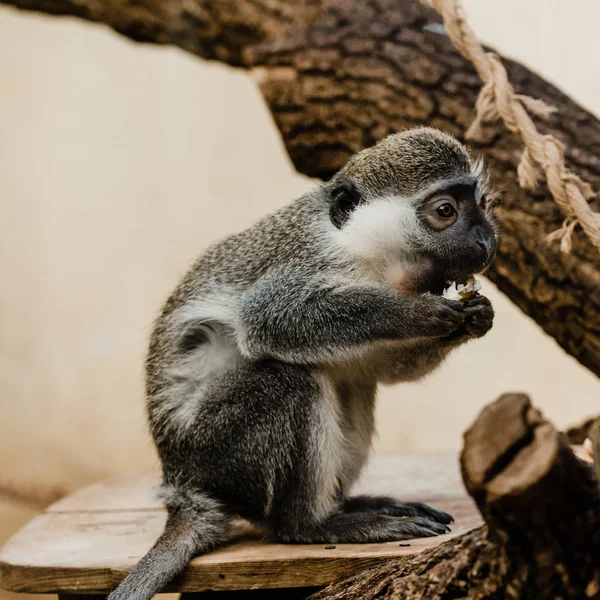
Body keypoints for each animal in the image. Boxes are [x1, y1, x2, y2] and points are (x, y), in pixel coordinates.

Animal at [108, 127, 496, 600]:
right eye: (445, 211)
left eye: (481, 203)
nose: (486, 242)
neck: (375, 261)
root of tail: (182, 484)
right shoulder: (307, 262)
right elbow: (266, 318)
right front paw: (419, 314)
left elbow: (380, 371)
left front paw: (475, 316)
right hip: (216, 449)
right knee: (290, 378)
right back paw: (313, 524)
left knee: (352, 385)